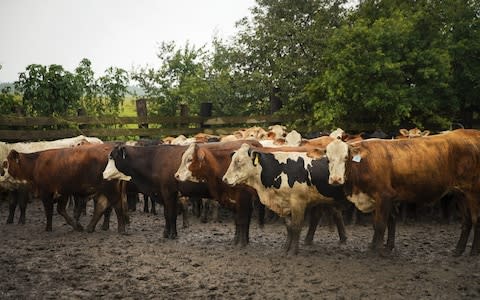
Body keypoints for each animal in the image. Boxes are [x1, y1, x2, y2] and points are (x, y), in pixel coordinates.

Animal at [326, 129, 480, 255]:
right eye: (328, 159)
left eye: (346, 157)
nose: (335, 179)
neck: (365, 162)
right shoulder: (379, 199)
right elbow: (383, 222)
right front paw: (383, 247)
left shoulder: (384, 196)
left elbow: (381, 224)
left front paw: (377, 250)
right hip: (460, 193)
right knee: (466, 220)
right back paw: (458, 250)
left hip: (473, 192)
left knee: (476, 219)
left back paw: (473, 251)